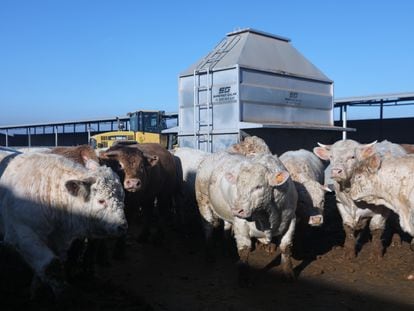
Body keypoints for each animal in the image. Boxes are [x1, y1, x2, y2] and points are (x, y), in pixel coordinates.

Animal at [0, 152, 127, 302]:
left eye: (123, 197)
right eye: (101, 201)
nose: (122, 226)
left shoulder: (59, 240)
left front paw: (36, 292)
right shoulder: (21, 233)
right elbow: (52, 266)